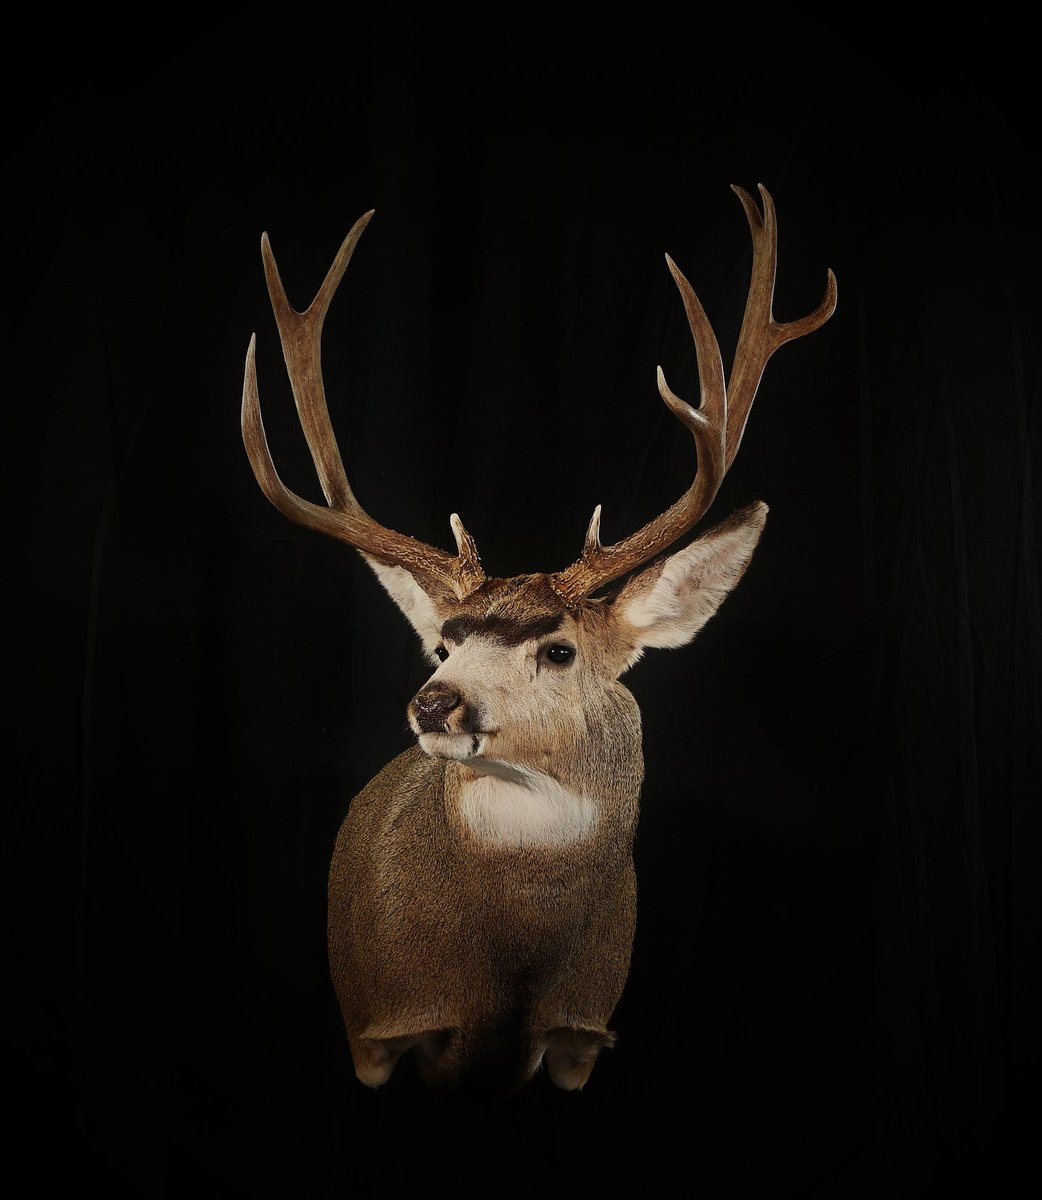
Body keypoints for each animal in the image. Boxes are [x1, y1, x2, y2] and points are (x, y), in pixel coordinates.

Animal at [240, 184, 837, 1097]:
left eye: (558, 651)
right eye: (442, 645)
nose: (433, 703)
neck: (504, 975)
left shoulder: (580, 1033)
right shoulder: (377, 1027)